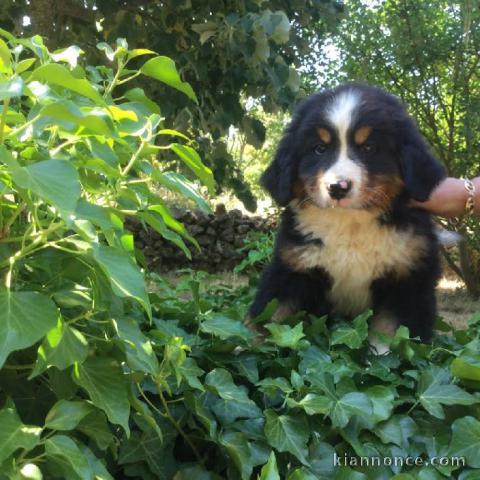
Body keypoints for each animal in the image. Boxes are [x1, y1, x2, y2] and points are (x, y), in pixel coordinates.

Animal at [251, 83, 446, 352]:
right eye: (319, 149)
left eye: (369, 148)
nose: (337, 187)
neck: (350, 223)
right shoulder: (291, 269)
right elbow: (269, 317)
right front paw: (244, 348)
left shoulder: (408, 280)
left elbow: (391, 337)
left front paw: (381, 359)